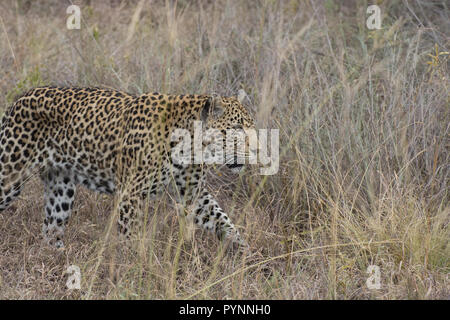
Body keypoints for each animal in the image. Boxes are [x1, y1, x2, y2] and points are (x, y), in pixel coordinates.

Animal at [0, 87, 255, 250]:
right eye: (237, 128)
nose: (256, 149)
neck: (190, 144)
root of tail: (17, 100)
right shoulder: (131, 194)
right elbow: (129, 236)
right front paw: (132, 271)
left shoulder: (192, 193)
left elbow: (223, 220)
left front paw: (245, 255)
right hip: (10, 176)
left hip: (61, 188)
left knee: (50, 231)